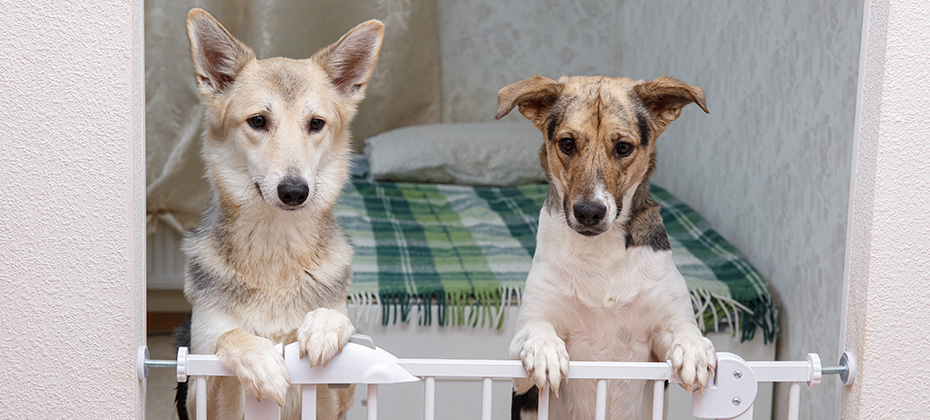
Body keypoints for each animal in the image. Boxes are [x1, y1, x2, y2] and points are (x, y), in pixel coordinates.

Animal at [176, 7, 382, 420]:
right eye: (258, 121)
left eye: (316, 124)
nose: (294, 191)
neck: (276, 247)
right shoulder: (200, 385)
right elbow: (230, 335)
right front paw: (261, 362)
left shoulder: (337, 398)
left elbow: (338, 320)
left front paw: (324, 327)